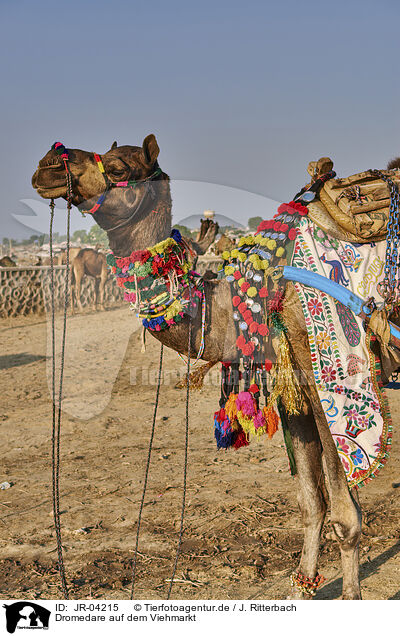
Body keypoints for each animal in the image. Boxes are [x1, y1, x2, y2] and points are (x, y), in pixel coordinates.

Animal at [32, 135, 400, 600]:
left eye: (117, 168)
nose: (48, 164)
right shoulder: (293, 385)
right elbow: (310, 502)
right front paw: (302, 586)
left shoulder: (331, 383)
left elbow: (346, 515)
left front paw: (350, 597)